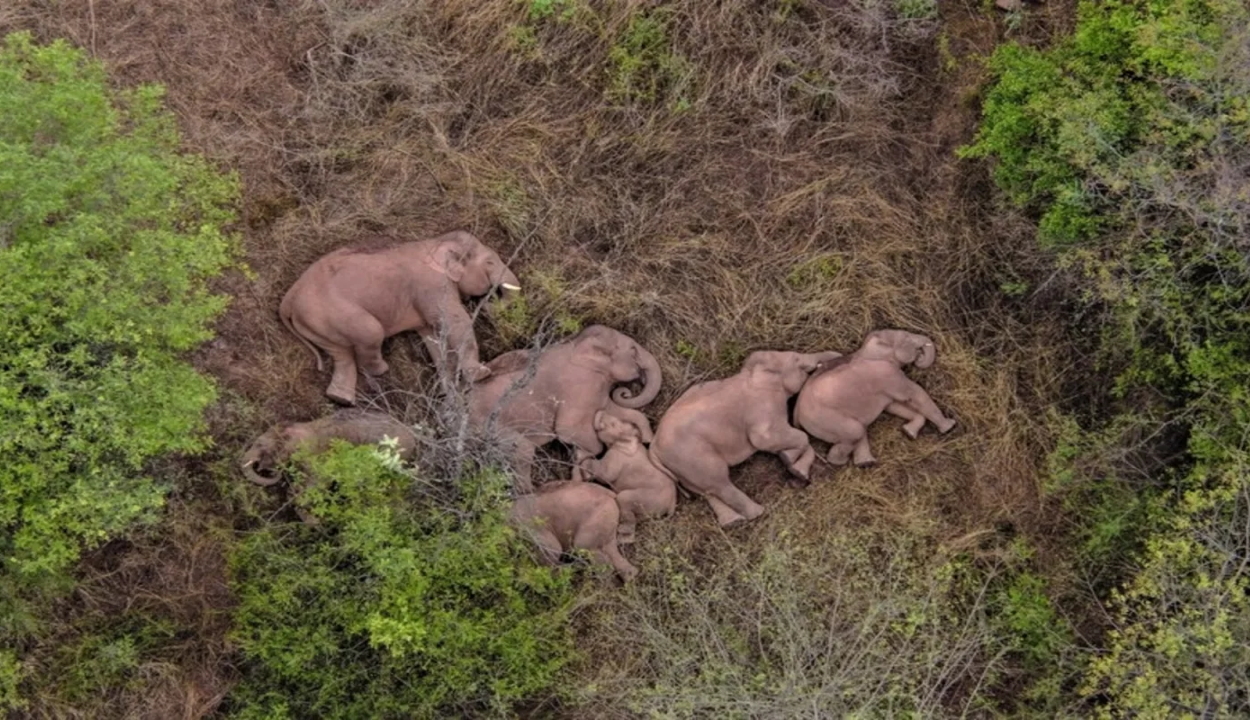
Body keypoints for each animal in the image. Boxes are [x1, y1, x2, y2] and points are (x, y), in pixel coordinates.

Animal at [281, 230, 520, 405]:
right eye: (489, 263)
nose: (488, 303)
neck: (436, 242)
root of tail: (288, 298)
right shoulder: (432, 285)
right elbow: (454, 321)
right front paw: (482, 374)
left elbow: (433, 337)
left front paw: (450, 393)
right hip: (332, 313)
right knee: (371, 332)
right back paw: (380, 370)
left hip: (317, 324)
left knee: (341, 355)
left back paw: (340, 399)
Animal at [577, 407, 675, 542]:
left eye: (613, 424)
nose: (601, 410)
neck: (628, 440)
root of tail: (672, 503)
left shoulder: (615, 456)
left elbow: (605, 475)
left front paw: (582, 460)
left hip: (647, 497)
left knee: (624, 499)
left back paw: (622, 535)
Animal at [645, 350, 840, 525]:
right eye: (796, 359)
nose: (837, 358)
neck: (751, 373)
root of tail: (653, 448)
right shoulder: (763, 407)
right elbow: (768, 439)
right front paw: (790, 461)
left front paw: (793, 466)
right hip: (692, 457)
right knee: (719, 482)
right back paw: (758, 513)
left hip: (681, 467)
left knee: (706, 490)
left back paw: (733, 522)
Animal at [795, 325, 960, 467]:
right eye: (907, 337)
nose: (919, 357)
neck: (868, 348)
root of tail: (796, 414)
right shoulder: (888, 374)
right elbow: (915, 394)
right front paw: (949, 426)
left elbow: (894, 406)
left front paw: (908, 433)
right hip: (825, 420)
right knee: (856, 431)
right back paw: (841, 462)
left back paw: (865, 463)